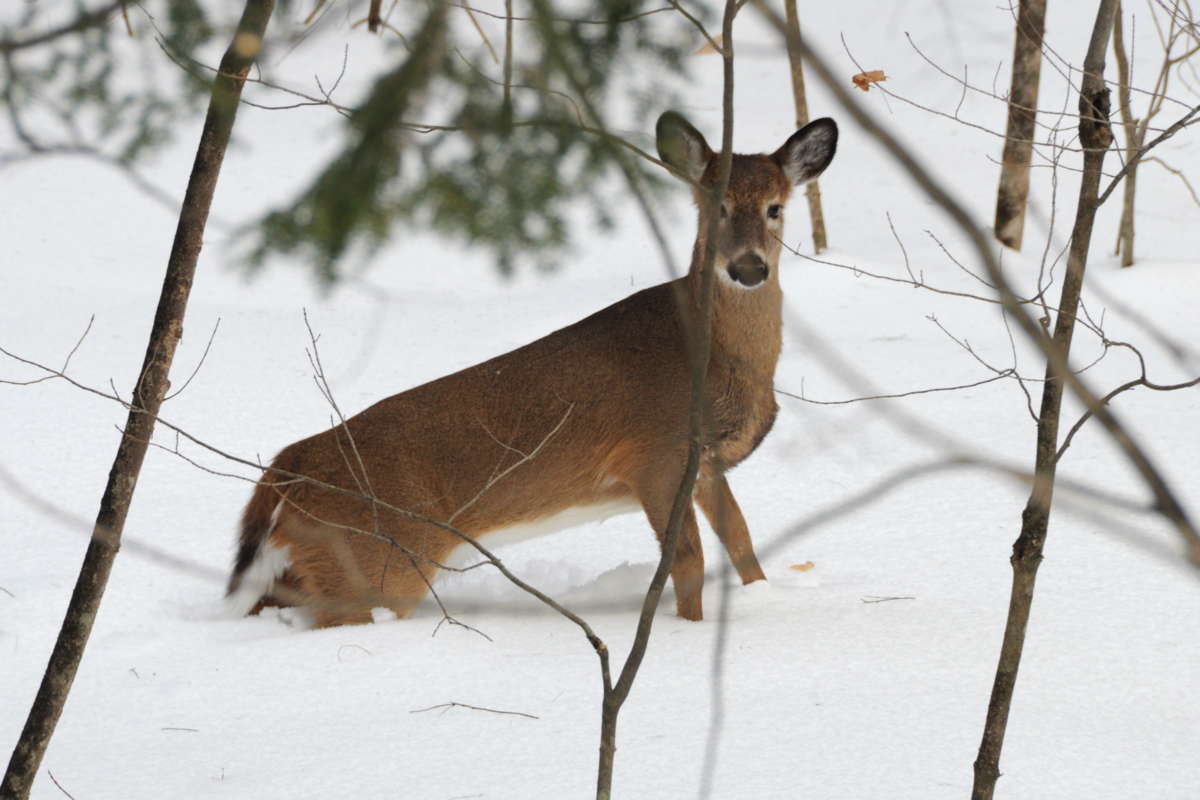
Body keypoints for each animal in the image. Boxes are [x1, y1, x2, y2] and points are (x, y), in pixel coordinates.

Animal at [226, 111, 838, 627]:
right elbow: (688, 561)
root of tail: (284, 469)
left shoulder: (706, 465)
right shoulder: (657, 453)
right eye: (716, 207)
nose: (748, 268)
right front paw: (691, 632)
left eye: (775, 208)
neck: (717, 358)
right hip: (375, 562)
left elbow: (742, 542)